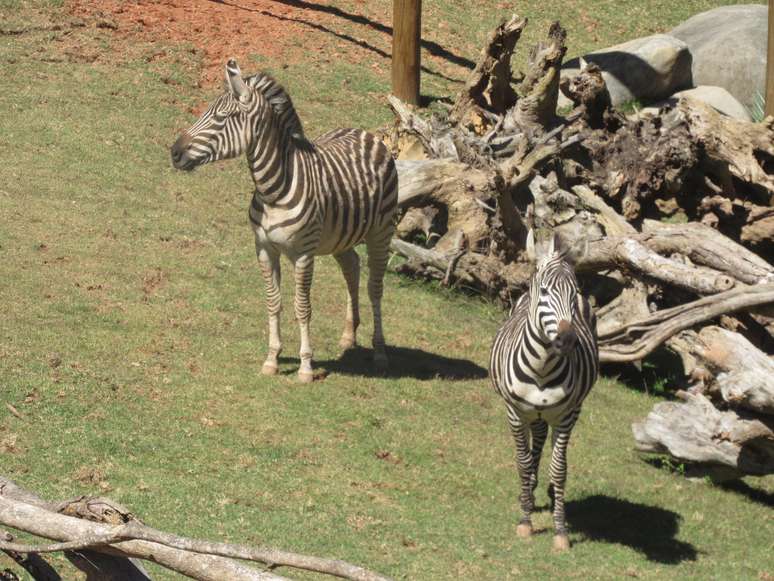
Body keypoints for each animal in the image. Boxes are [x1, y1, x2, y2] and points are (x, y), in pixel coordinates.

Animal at [171, 61, 400, 382]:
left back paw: (379, 352)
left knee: (375, 287)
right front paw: (272, 359)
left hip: (382, 231)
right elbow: (273, 301)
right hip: (340, 237)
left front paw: (305, 367)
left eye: (222, 117)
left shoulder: (303, 254)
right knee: (352, 268)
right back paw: (348, 336)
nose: (174, 152)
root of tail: (366, 134)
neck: (274, 189)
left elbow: (302, 307)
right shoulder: (264, 248)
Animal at [492, 229, 600, 552]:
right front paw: (525, 518)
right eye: (544, 292)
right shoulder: (515, 413)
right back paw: (528, 490)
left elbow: (559, 469)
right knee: (534, 446)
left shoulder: (565, 416)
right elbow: (523, 461)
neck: (541, 369)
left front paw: (560, 529)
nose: (568, 341)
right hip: (532, 414)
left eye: (573, 295)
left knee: (544, 444)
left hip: (565, 411)